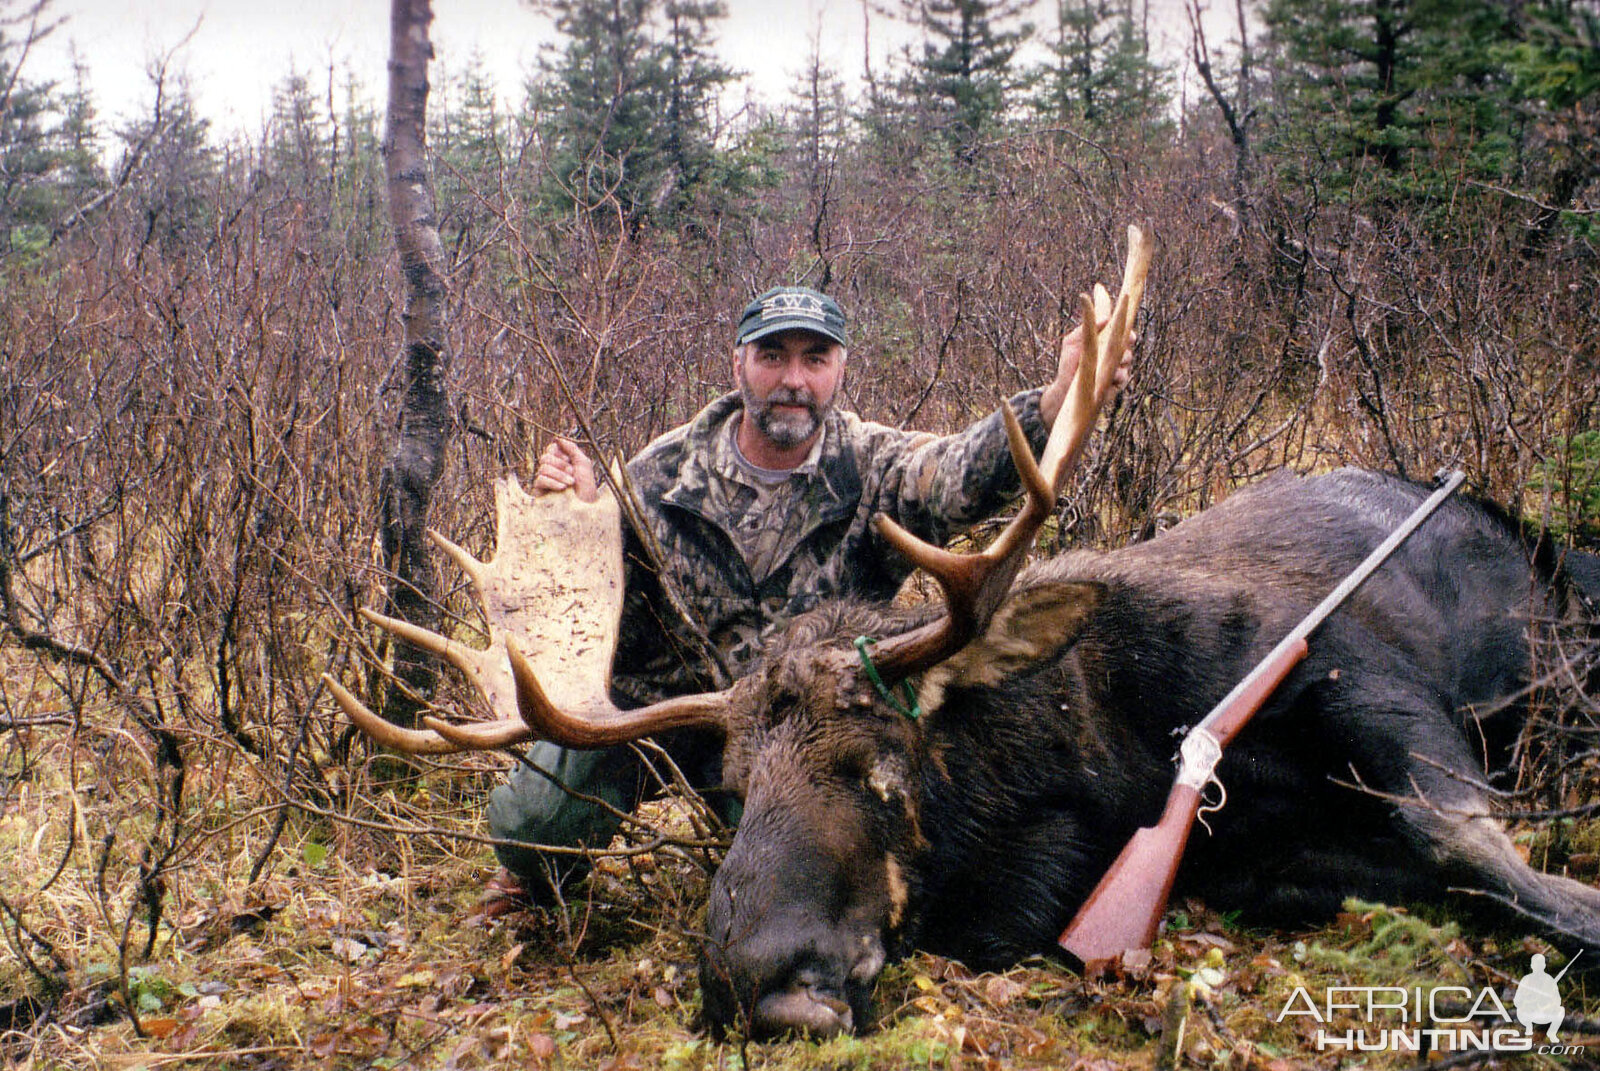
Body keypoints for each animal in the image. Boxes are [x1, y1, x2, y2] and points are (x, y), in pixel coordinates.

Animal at [328, 275, 1600, 1037]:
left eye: (881, 769)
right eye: (735, 785)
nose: (759, 988)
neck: (1094, 768)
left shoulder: (1365, 682)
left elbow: (1463, 842)